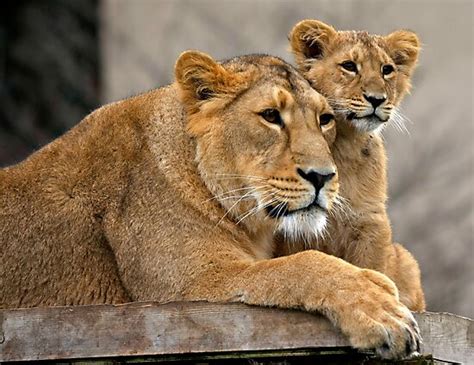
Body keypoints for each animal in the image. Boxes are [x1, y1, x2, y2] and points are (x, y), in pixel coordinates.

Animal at [0, 51, 418, 358]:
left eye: (325, 119)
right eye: (271, 116)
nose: (323, 176)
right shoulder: (184, 288)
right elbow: (300, 265)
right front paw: (381, 308)